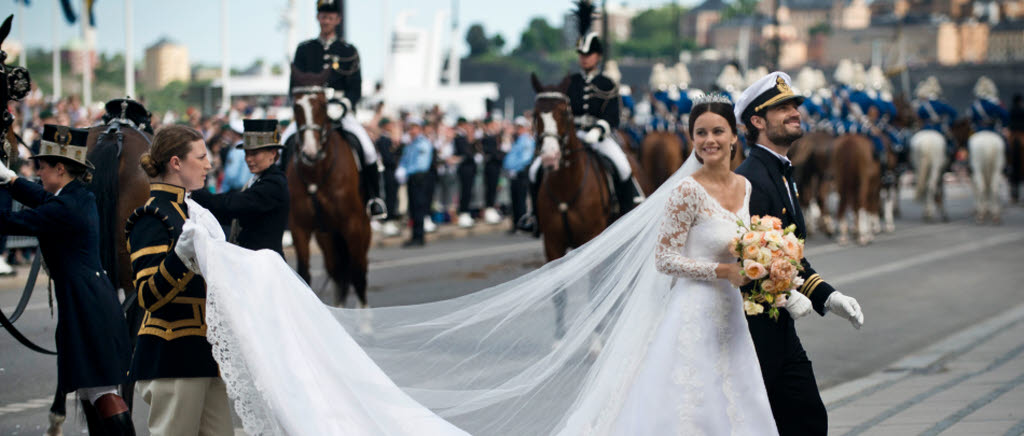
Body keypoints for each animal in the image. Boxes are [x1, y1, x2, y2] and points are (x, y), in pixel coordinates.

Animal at [288, 69, 368, 309]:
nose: (310, 152)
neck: (317, 172)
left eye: (323, 105)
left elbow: (358, 275)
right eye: (296, 106)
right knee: (337, 273)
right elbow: (304, 274)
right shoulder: (299, 227)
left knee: (357, 270)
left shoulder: (353, 225)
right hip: (327, 237)